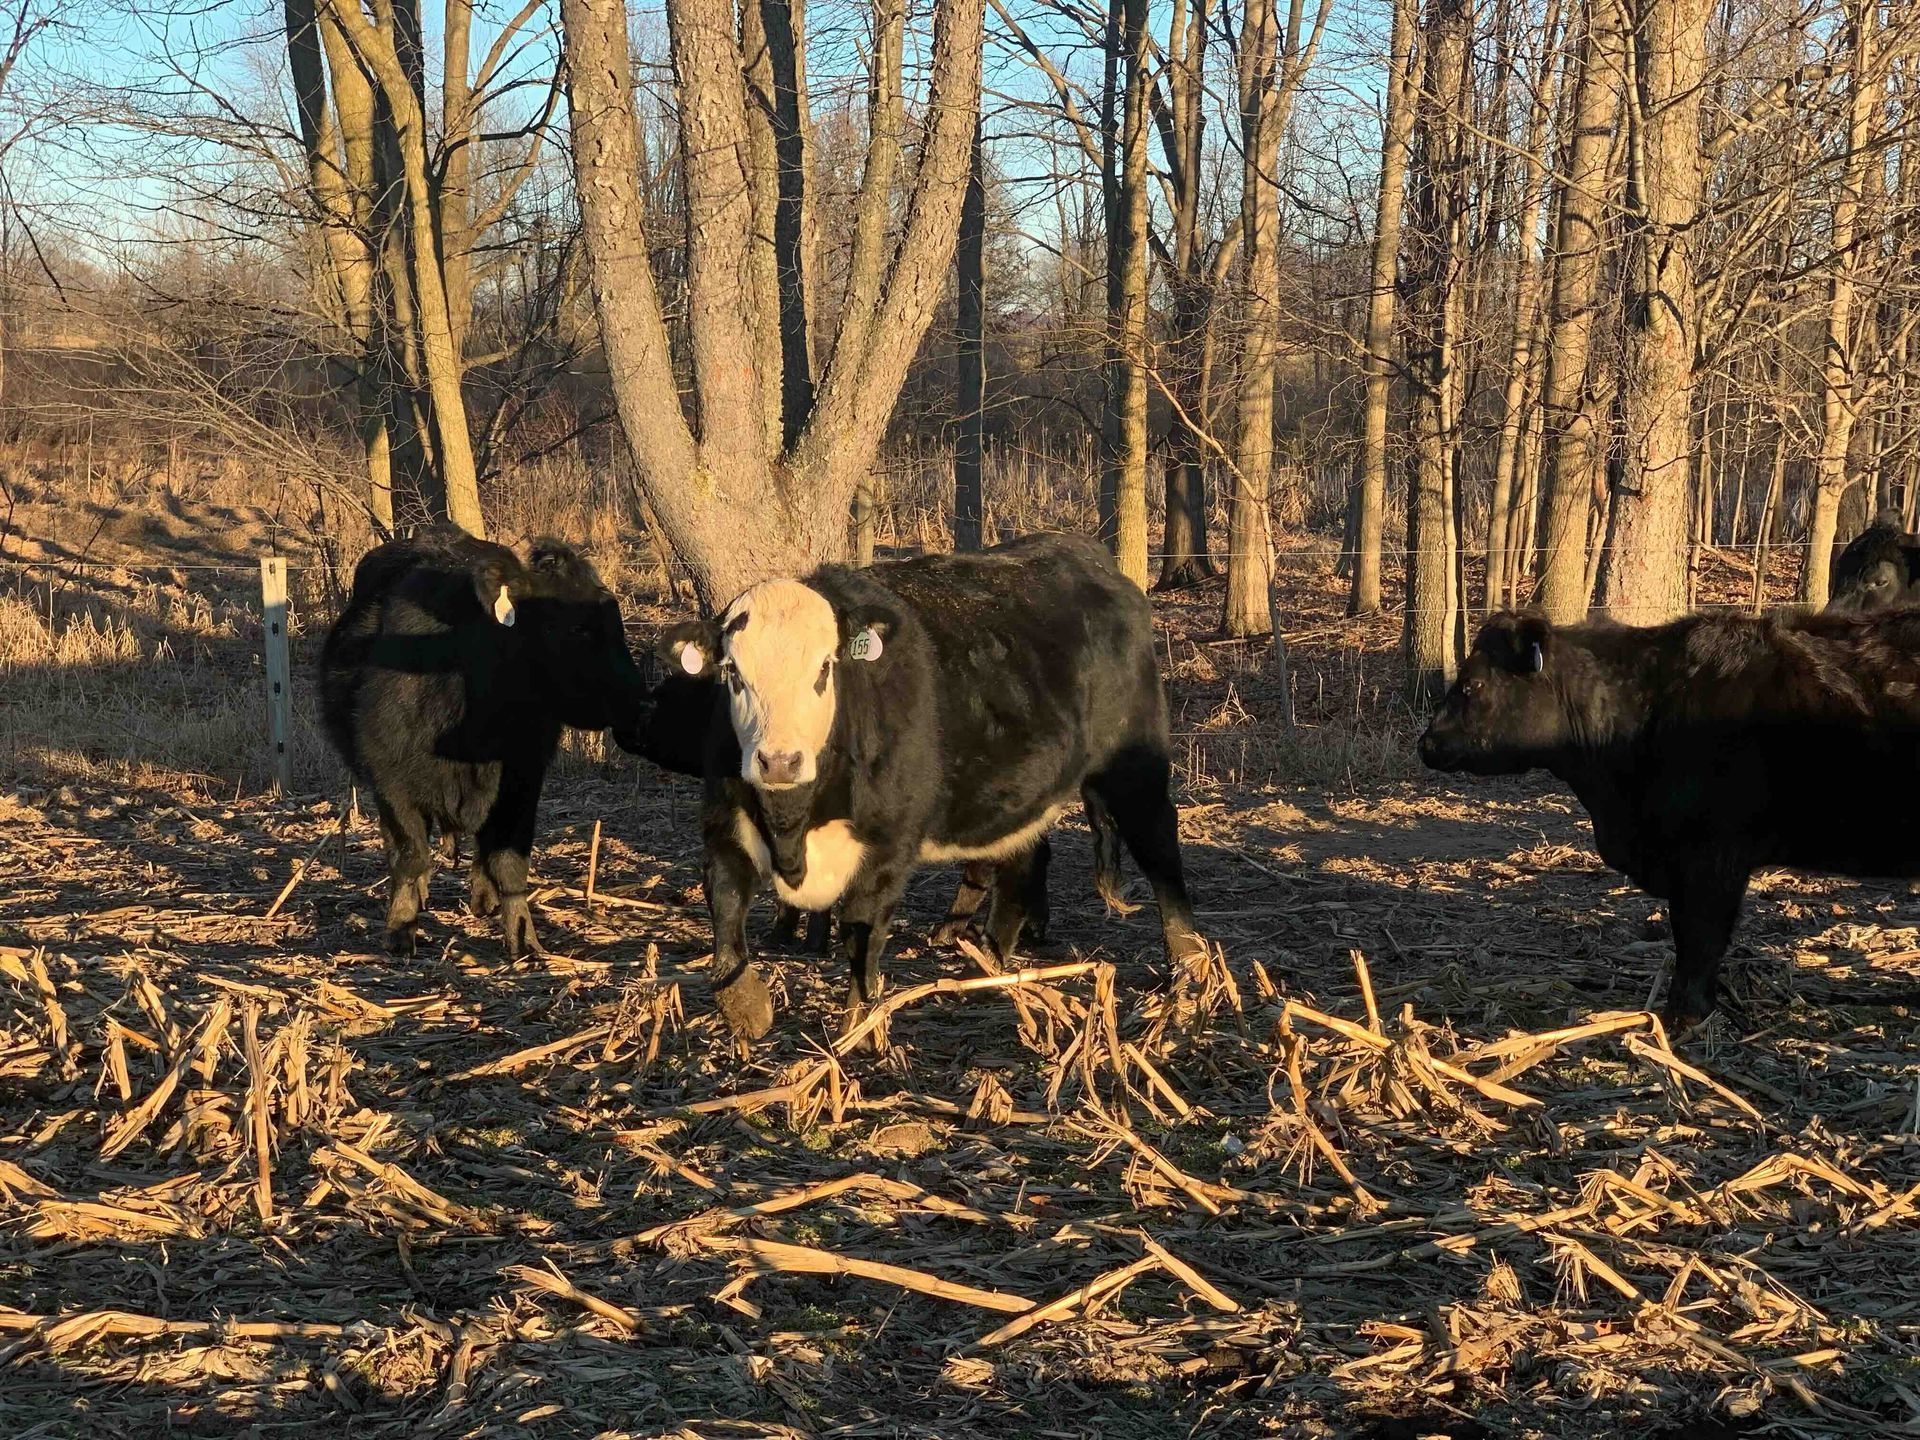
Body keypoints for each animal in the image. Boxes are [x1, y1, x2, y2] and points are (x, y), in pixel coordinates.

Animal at [320, 528, 648, 957]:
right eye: (578, 628)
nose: (640, 700)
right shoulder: (390, 779)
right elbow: (409, 855)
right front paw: (400, 929)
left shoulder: (521, 778)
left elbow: (509, 863)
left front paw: (524, 938)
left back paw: (484, 896)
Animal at [657, 532, 1206, 1042]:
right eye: (732, 672)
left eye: (825, 667)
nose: (780, 761)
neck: (794, 823)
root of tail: (1089, 554)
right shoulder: (723, 824)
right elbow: (726, 912)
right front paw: (746, 1007)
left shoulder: (888, 848)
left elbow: (861, 934)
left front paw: (856, 1028)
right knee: (1023, 863)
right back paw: (987, 964)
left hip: (1133, 765)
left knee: (1159, 848)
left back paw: (1188, 965)